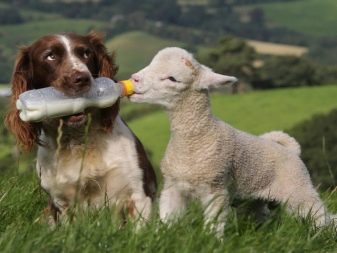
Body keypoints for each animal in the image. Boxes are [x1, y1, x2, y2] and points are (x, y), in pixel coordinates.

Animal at [5, 32, 156, 225]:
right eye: (50, 56)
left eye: (86, 53)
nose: (82, 78)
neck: (79, 140)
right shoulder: (61, 204)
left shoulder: (137, 194)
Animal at [128, 47, 334, 233]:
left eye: (172, 79)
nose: (134, 78)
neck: (197, 138)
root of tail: (291, 150)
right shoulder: (173, 187)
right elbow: (167, 220)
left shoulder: (216, 189)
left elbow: (213, 225)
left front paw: (212, 243)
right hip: (255, 199)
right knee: (262, 215)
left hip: (298, 188)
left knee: (323, 217)